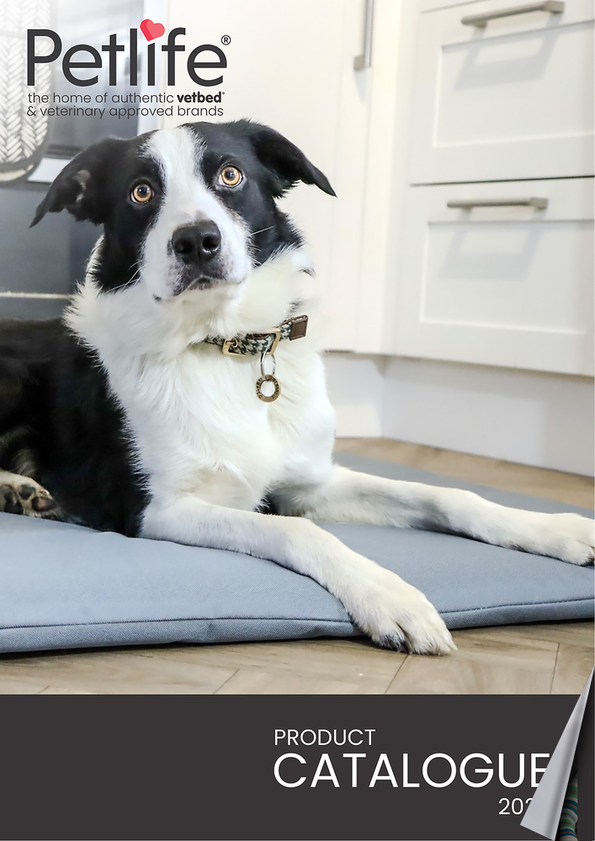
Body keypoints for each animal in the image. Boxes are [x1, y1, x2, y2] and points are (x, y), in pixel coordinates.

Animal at [0, 120, 592, 655]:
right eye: (140, 192)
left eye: (231, 175)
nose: (196, 241)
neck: (227, 347)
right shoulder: (157, 510)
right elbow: (298, 532)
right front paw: (390, 596)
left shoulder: (310, 483)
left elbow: (447, 494)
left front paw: (557, 529)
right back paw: (20, 490)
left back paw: (25, 493)